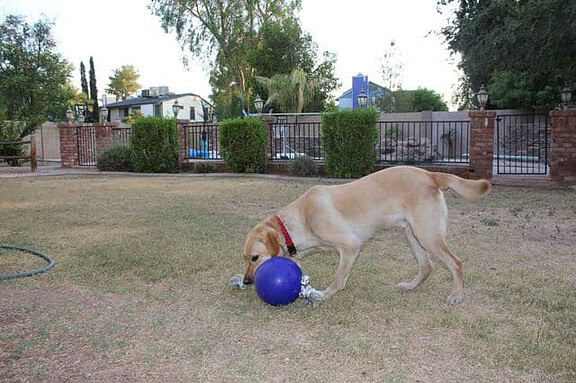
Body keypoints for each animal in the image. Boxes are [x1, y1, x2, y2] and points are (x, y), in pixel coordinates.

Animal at [243, 166, 490, 304]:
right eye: (245, 258)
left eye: (255, 258)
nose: (245, 281)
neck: (301, 217)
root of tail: (430, 174)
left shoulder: (350, 245)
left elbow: (338, 279)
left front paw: (324, 295)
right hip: (413, 234)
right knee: (427, 266)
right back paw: (410, 286)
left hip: (427, 235)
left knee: (456, 262)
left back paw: (457, 294)